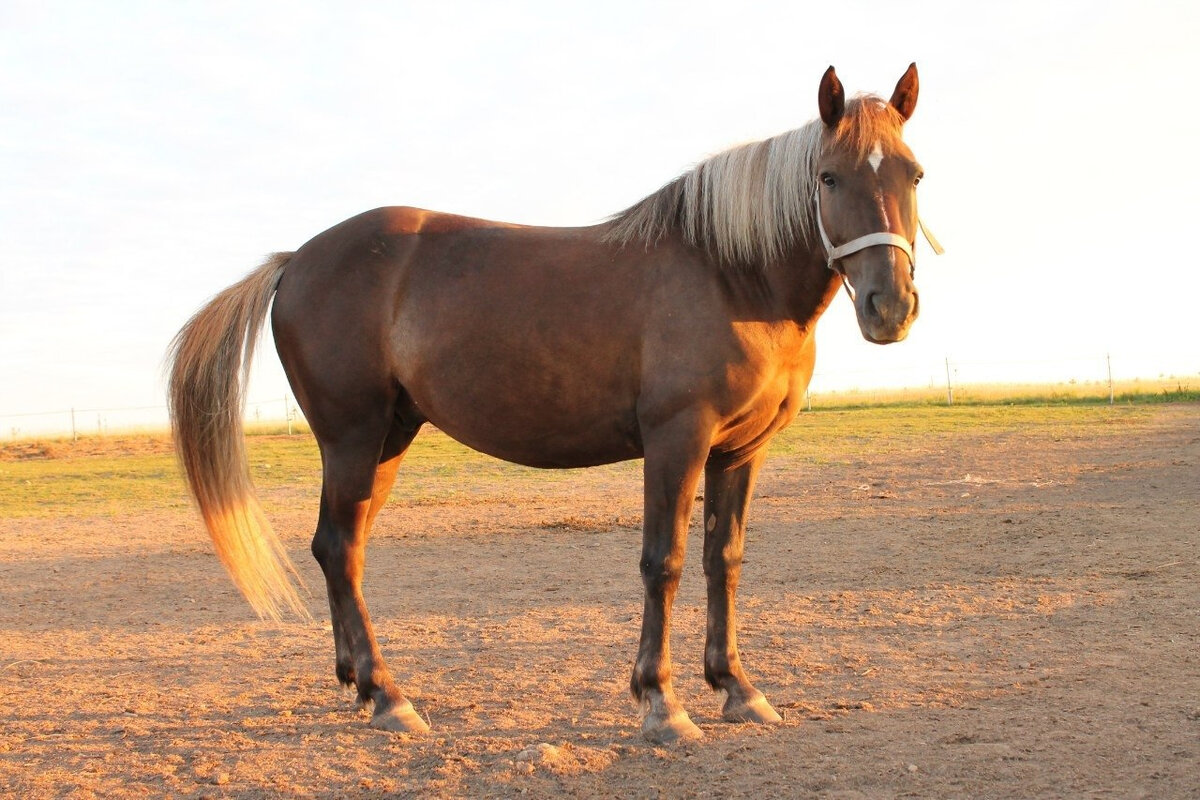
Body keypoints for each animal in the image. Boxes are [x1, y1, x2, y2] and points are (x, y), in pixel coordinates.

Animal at [166, 62, 936, 743]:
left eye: (914, 174)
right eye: (828, 176)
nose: (890, 307)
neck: (729, 275)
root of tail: (294, 261)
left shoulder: (741, 450)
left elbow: (725, 559)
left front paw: (737, 688)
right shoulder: (677, 440)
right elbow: (664, 561)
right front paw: (662, 703)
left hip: (388, 438)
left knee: (339, 548)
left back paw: (361, 685)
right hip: (353, 438)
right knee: (339, 548)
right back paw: (389, 697)